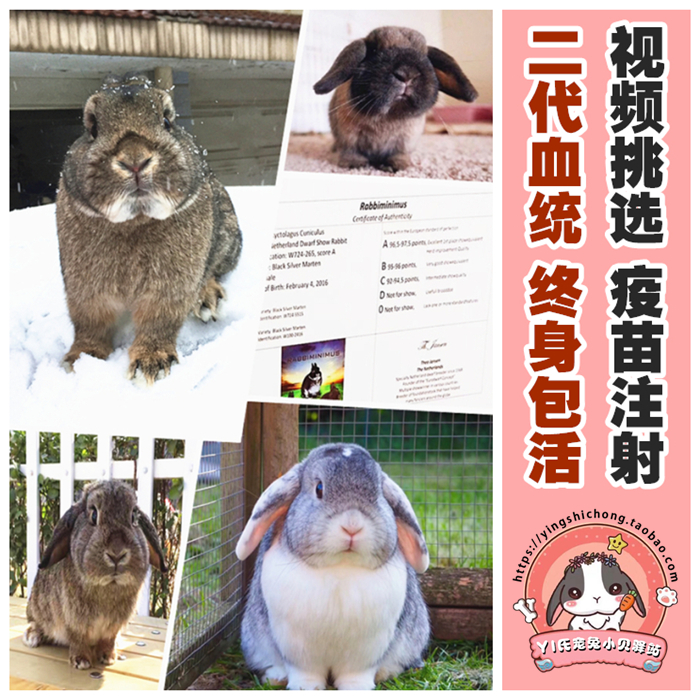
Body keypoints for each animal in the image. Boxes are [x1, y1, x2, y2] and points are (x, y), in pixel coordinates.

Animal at [21, 480, 167, 669]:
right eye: (93, 515)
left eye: (134, 518)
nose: (116, 554)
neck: (108, 585)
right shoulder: (75, 622)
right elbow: (78, 639)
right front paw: (81, 661)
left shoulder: (113, 627)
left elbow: (108, 640)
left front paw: (109, 657)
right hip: (38, 609)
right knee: (36, 623)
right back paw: (32, 636)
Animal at [56, 73, 243, 385]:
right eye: (92, 127)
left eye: (167, 120)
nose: (135, 160)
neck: (135, 221)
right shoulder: (85, 289)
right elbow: (91, 323)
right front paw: (80, 359)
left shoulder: (169, 287)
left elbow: (159, 320)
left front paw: (151, 364)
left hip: (227, 239)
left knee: (213, 271)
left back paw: (207, 300)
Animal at [235, 443, 430, 690]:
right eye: (319, 488)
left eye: (377, 493)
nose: (352, 526)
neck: (341, 566)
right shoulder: (297, 650)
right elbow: (304, 673)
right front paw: (305, 688)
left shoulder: (366, 653)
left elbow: (356, 674)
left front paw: (357, 689)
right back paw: (276, 677)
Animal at [313, 26, 478, 172]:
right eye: (374, 51)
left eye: (426, 57)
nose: (407, 74)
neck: (389, 116)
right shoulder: (348, 137)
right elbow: (351, 151)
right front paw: (354, 164)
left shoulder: (405, 141)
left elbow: (399, 154)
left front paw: (397, 166)